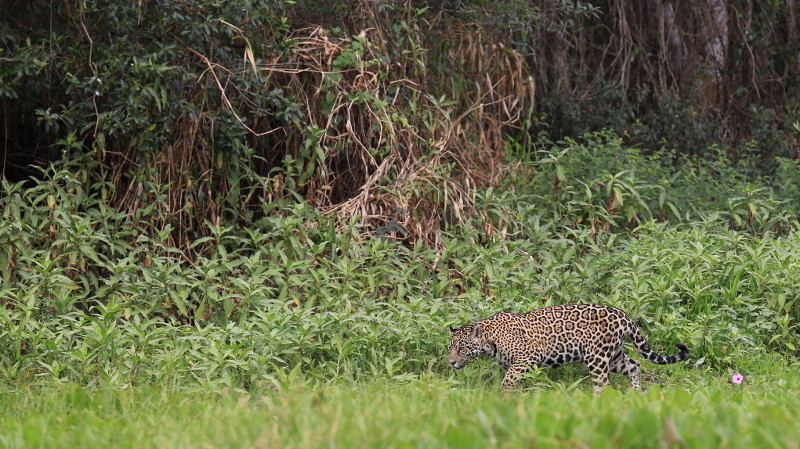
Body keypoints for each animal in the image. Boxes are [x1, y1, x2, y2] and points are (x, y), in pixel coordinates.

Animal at [448, 304, 689, 393]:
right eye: (450, 348)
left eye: (461, 348)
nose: (451, 362)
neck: (490, 338)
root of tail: (623, 315)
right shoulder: (514, 365)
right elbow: (515, 381)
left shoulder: (525, 359)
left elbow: (507, 381)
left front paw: (505, 395)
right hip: (614, 356)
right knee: (635, 364)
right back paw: (637, 393)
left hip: (597, 357)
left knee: (603, 384)